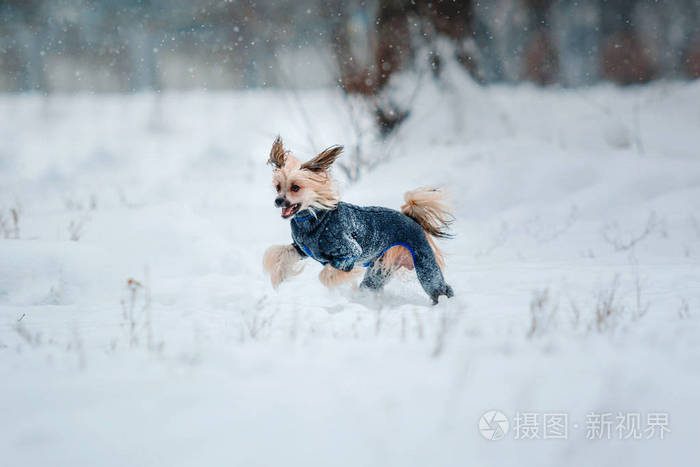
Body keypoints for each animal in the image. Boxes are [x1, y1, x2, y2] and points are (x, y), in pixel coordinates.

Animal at [262, 137, 454, 306]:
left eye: (295, 187)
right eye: (278, 187)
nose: (278, 200)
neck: (314, 215)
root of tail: (412, 219)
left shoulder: (350, 250)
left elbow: (326, 274)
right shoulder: (301, 249)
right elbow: (277, 253)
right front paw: (278, 276)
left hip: (423, 263)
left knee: (438, 286)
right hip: (380, 270)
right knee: (370, 285)